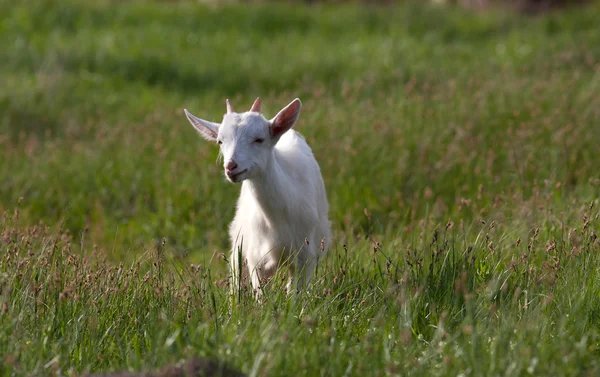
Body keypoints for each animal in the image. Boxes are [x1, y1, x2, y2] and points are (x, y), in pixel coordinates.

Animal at [185, 97, 330, 296]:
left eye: (259, 139)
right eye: (220, 141)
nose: (231, 166)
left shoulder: (305, 256)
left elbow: (295, 293)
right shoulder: (256, 259)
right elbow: (261, 293)